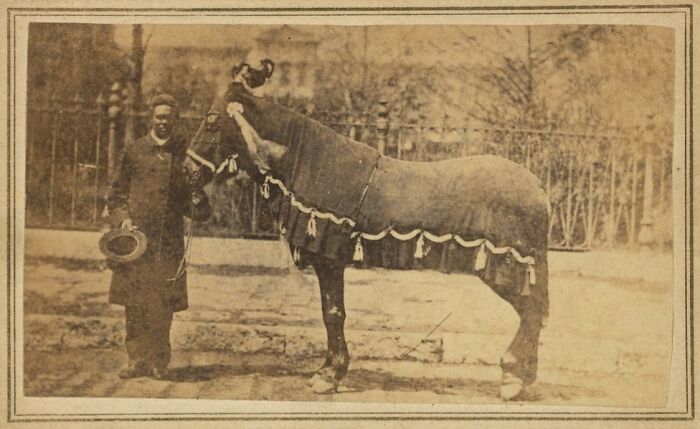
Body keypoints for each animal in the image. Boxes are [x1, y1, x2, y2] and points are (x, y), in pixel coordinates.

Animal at [182, 60, 550, 400]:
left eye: (212, 120)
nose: (187, 171)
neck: (306, 161)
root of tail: (538, 187)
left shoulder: (328, 260)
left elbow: (332, 313)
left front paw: (329, 375)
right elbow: (332, 312)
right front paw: (329, 369)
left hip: (507, 268)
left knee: (530, 313)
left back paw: (513, 378)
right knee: (533, 313)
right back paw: (523, 376)